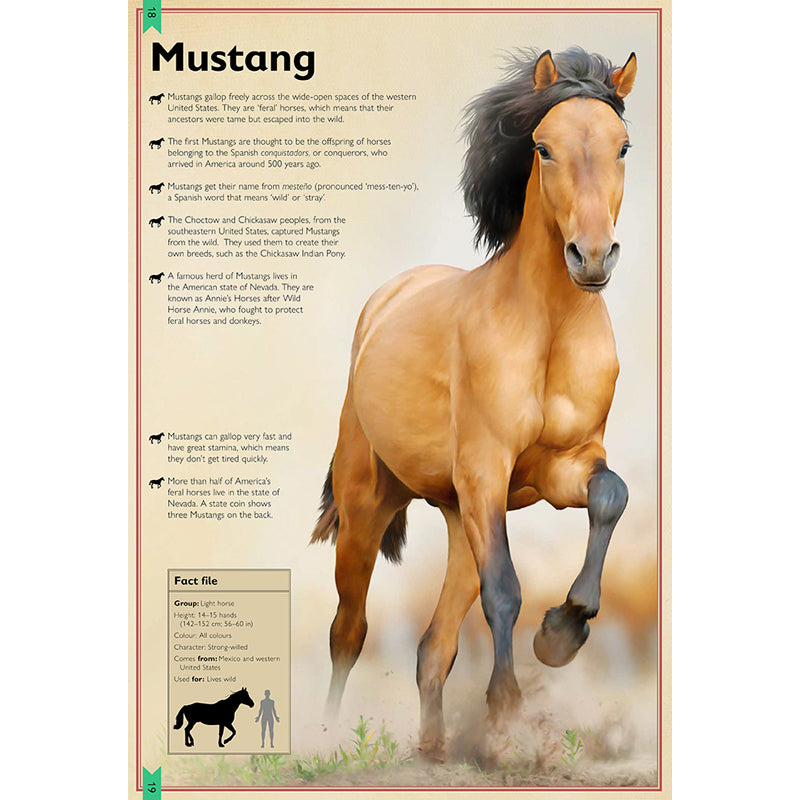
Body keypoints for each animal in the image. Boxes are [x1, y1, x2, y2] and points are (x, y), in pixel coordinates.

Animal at [310, 47, 638, 761]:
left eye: (624, 145)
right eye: (543, 147)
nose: (592, 257)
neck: (547, 330)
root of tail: (384, 301)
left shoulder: (562, 467)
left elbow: (610, 496)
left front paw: (562, 633)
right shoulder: (488, 469)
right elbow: (505, 592)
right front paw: (508, 703)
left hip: (461, 516)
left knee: (433, 647)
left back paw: (436, 751)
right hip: (368, 505)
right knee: (349, 629)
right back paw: (320, 743)